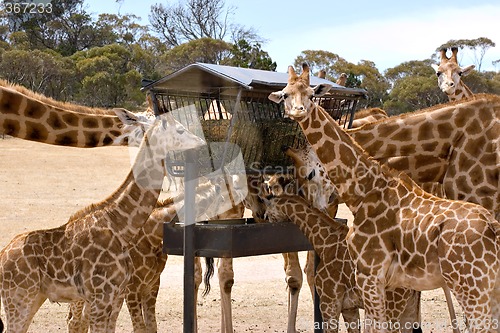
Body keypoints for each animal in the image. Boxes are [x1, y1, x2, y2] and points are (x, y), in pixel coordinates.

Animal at [0, 110, 205, 330]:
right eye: (180, 129)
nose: (201, 143)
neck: (121, 226)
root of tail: (2, 256)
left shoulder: (116, 296)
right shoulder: (101, 297)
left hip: (35, 298)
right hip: (19, 299)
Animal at [270, 63, 500, 332]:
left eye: (310, 94)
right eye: (285, 94)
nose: (298, 111)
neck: (366, 188)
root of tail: (492, 228)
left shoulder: (370, 274)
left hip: (472, 286)